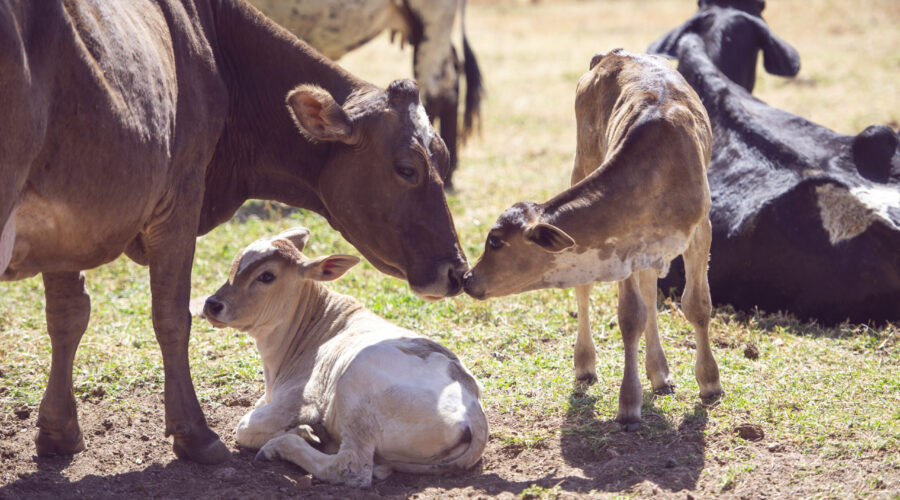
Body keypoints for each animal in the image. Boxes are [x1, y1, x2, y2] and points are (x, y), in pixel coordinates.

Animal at [203, 229, 488, 486]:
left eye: (266, 276)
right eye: (234, 266)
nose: (212, 304)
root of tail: (474, 410)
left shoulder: (299, 402)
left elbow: (244, 428)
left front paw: (301, 432)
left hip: (355, 387)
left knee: (351, 468)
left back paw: (284, 445)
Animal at [464, 50, 724, 430]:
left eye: (495, 241)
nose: (468, 278)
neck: (657, 171)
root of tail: (612, 54)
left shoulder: (701, 229)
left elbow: (697, 305)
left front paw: (709, 383)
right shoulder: (621, 244)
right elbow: (630, 316)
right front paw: (628, 404)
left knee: (650, 290)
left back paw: (660, 374)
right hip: (581, 160)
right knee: (589, 289)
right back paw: (587, 364)